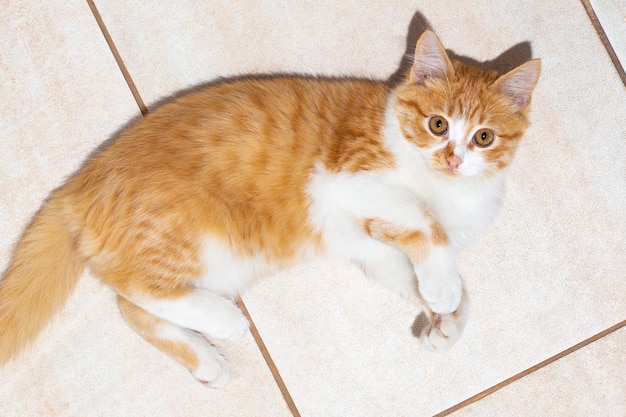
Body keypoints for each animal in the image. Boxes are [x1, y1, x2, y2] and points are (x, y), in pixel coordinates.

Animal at [0, 30, 536, 386]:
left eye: (484, 137)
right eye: (438, 124)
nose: (453, 158)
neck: (443, 185)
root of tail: (79, 183)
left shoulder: (377, 252)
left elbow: (430, 278)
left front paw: (447, 322)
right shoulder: (349, 179)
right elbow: (427, 224)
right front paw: (444, 291)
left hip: (221, 263)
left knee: (130, 308)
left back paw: (206, 359)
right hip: (190, 235)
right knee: (136, 288)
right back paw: (224, 322)